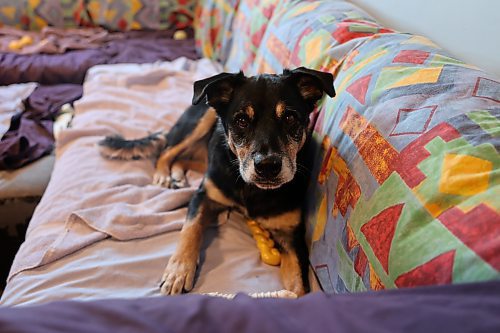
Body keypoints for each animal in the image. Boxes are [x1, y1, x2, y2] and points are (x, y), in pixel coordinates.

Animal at [98, 66, 336, 294]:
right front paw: (178, 272)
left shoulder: (292, 237)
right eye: (241, 120)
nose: (268, 166)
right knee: (166, 152)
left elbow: (299, 286)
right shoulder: (203, 196)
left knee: (185, 159)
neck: (252, 189)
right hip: (203, 120)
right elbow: (191, 229)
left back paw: (177, 175)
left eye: (290, 118)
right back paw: (164, 174)